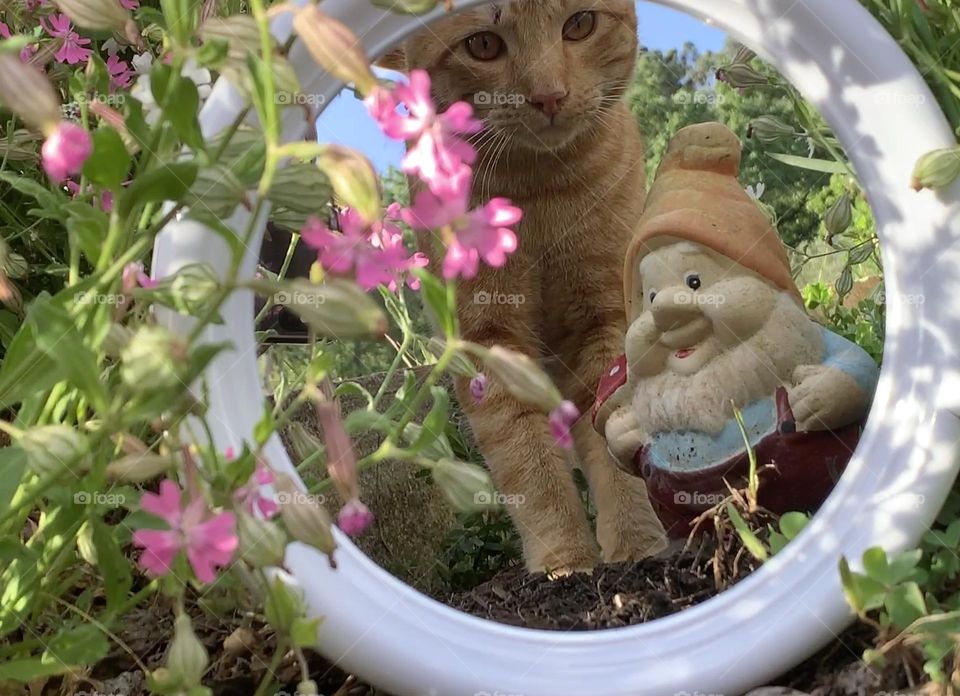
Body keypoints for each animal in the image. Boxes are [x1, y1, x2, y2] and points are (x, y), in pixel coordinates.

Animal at [378, 0, 664, 572]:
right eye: (483, 45)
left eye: (580, 24)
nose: (548, 95)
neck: (539, 187)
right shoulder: (488, 341)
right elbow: (527, 463)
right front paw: (566, 564)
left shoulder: (605, 318)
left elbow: (615, 436)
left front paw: (637, 550)